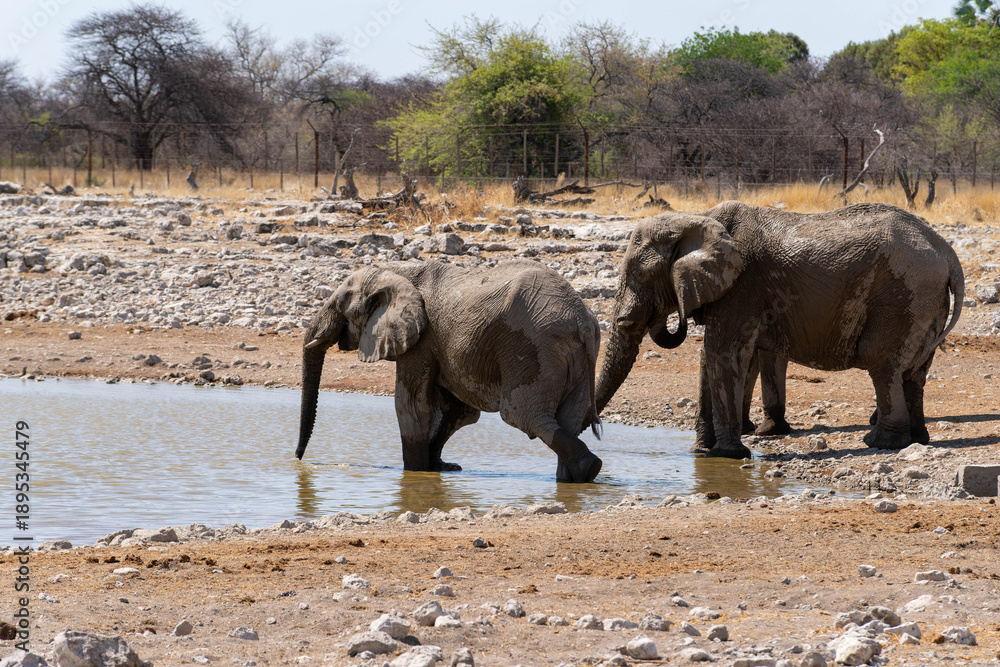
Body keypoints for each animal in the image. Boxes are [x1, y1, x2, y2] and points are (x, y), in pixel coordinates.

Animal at [296, 259, 604, 482]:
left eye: (341, 307)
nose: (297, 459)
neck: (395, 272)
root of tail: (582, 321)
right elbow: (457, 411)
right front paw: (442, 468)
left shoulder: (421, 339)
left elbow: (412, 405)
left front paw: (415, 472)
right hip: (574, 359)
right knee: (570, 418)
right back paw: (575, 479)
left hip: (535, 350)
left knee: (522, 414)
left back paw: (589, 468)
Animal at [596, 201, 964, 458]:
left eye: (640, 275)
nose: (595, 432)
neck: (696, 220)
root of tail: (947, 251)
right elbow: (711, 358)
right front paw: (701, 452)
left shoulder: (742, 286)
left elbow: (722, 353)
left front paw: (729, 455)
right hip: (927, 300)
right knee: (914, 372)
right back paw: (917, 438)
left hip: (903, 293)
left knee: (882, 362)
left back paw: (881, 442)